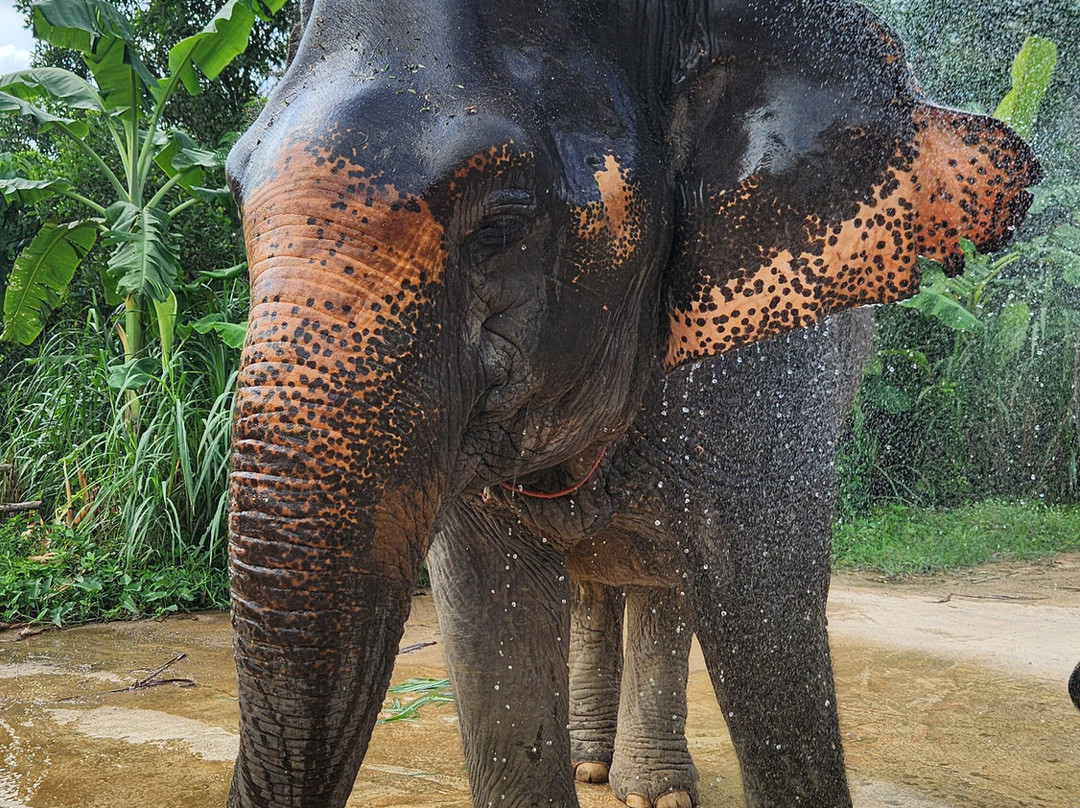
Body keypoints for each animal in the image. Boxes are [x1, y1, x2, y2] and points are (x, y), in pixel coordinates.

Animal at [223, 1, 1039, 807]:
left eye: (501, 224)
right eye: (234, 190)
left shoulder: (765, 380)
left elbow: (764, 617)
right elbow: (491, 621)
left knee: (660, 586)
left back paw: (650, 788)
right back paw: (594, 763)